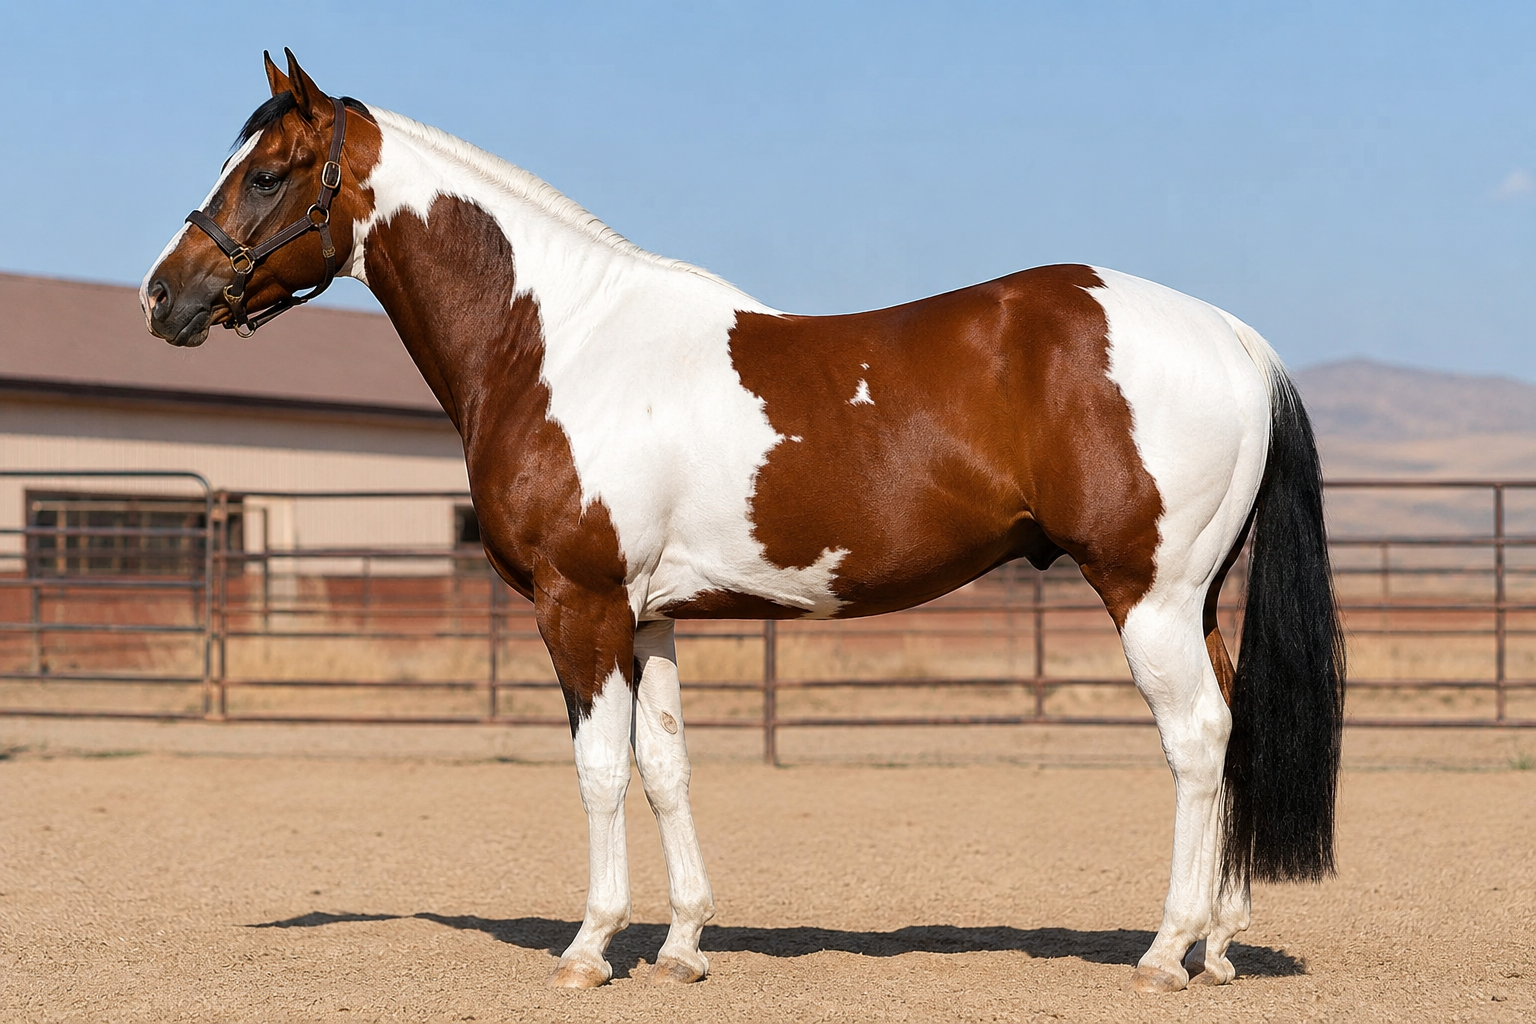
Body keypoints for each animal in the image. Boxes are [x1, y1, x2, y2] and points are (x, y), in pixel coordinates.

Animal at [142, 51, 1344, 994]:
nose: (164, 297)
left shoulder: (579, 609)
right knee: (1233, 729)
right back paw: (1221, 946)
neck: (557, 342)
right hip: (1196, 599)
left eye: (266, 174)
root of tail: (1236, 337)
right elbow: (667, 766)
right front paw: (682, 945)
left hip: (1149, 595)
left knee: (1198, 740)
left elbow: (598, 769)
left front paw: (589, 947)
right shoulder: (650, 616)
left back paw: (1167, 950)